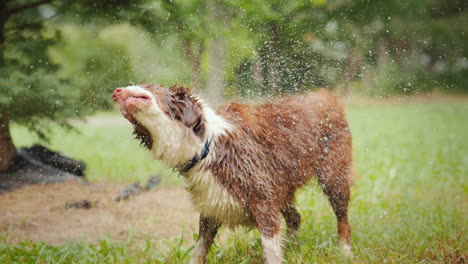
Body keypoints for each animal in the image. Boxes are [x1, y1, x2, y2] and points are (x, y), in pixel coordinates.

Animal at [111, 84, 352, 264]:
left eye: (149, 86)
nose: (116, 91)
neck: (206, 146)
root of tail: (326, 97)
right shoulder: (212, 206)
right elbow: (199, 249)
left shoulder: (263, 201)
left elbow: (270, 248)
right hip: (280, 189)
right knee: (295, 217)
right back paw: (292, 247)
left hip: (333, 176)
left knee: (342, 217)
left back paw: (345, 250)